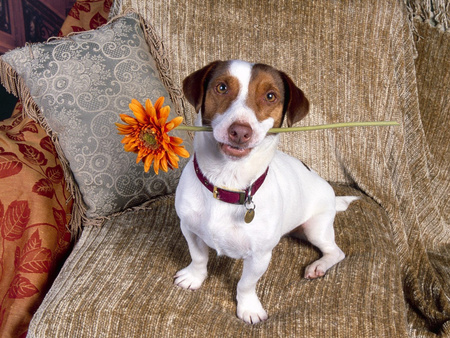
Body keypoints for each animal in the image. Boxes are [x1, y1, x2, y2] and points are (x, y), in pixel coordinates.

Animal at [173, 60, 358, 324]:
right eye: (222, 87)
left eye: (270, 96)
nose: (240, 131)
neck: (228, 183)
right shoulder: (189, 229)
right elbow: (198, 258)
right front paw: (194, 278)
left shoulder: (260, 256)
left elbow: (245, 284)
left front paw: (248, 308)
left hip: (316, 228)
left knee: (336, 251)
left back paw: (319, 266)